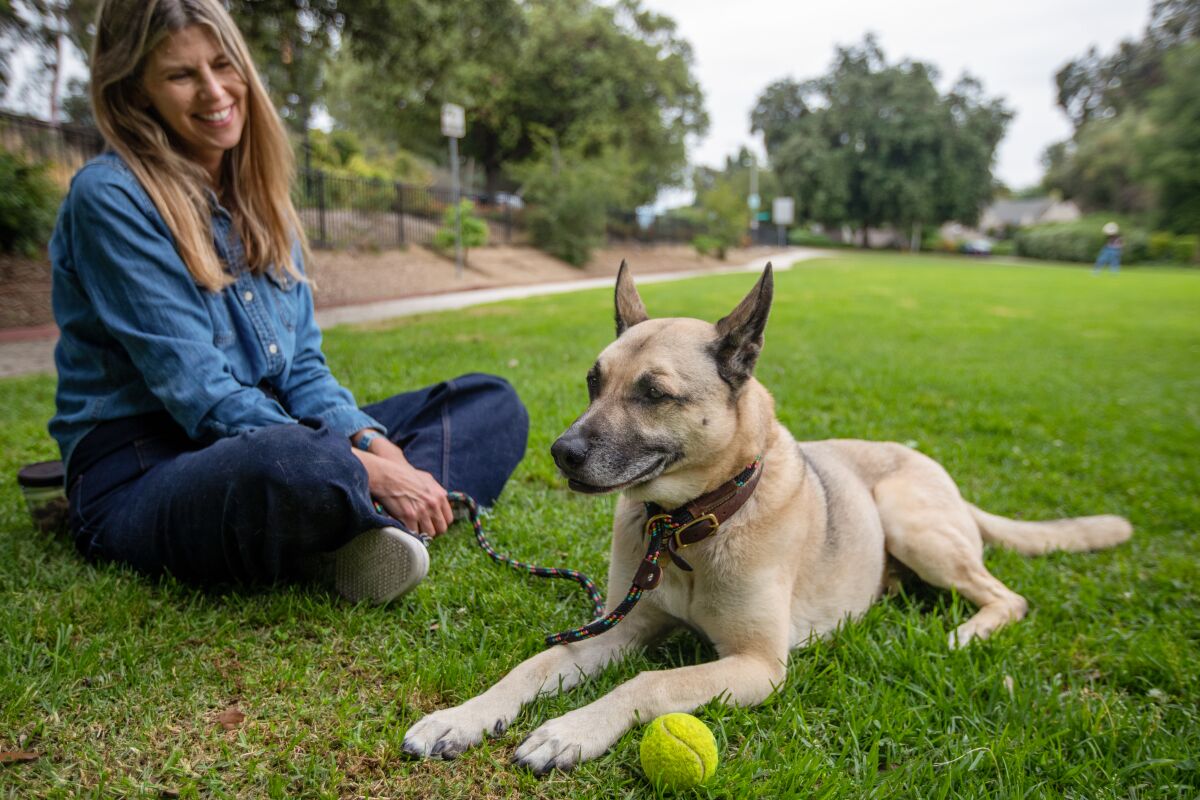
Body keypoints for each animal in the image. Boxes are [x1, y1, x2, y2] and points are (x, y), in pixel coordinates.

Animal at [405, 262, 1132, 777]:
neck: (688, 527)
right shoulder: (624, 626)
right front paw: (463, 718)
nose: (561, 453)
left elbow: (653, 682)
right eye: (593, 382)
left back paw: (965, 633)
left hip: (909, 520)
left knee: (1008, 596)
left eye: (654, 393)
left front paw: (571, 730)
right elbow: (535, 664)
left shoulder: (756, 664)